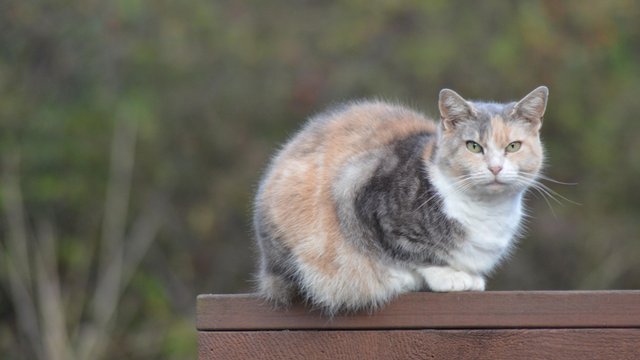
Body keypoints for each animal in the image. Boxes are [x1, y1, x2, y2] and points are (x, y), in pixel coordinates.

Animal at [252, 86, 548, 314]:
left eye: (513, 146)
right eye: (473, 146)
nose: (495, 168)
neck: (485, 210)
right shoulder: (356, 190)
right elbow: (411, 252)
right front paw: (446, 276)